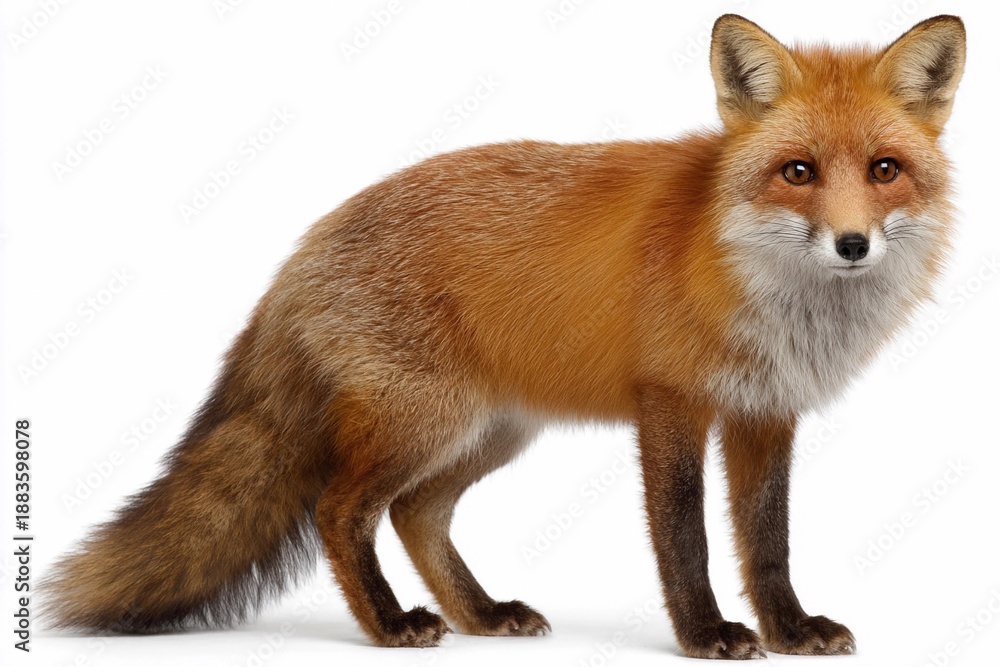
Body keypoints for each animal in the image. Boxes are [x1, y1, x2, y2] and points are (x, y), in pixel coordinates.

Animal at [41, 13, 966, 660]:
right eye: (798, 172)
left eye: (885, 170)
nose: (853, 244)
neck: (767, 289)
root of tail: (308, 244)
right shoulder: (670, 402)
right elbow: (688, 538)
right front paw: (705, 634)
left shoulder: (765, 411)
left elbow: (767, 541)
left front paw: (789, 628)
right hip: (426, 420)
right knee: (341, 507)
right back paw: (389, 623)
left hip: (491, 431)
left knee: (414, 511)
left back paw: (479, 613)